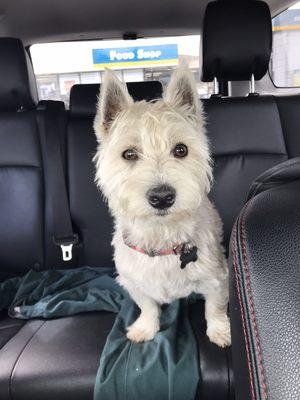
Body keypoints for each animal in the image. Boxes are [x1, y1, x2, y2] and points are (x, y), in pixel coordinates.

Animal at [93, 68, 230, 346]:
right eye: (129, 154)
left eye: (181, 149)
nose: (162, 197)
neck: (161, 235)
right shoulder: (133, 281)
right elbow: (147, 306)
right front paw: (145, 328)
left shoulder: (216, 276)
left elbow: (215, 307)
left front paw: (220, 331)